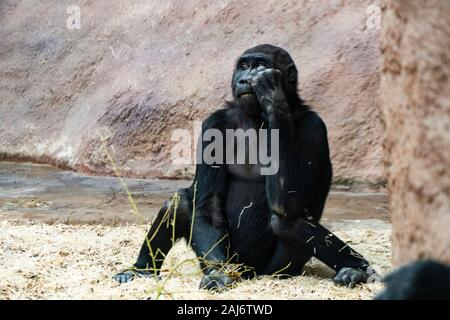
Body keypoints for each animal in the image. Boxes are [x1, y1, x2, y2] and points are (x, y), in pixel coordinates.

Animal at [113, 43, 376, 290]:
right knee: (180, 202)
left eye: (259, 64)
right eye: (242, 66)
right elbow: (208, 204)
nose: (243, 79)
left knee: (286, 221)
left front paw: (273, 96)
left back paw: (356, 269)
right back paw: (142, 269)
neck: (257, 119)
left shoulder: (315, 127)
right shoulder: (213, 123)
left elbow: (289, 204)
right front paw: (218, 275)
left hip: (277, 270)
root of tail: (249, 272)